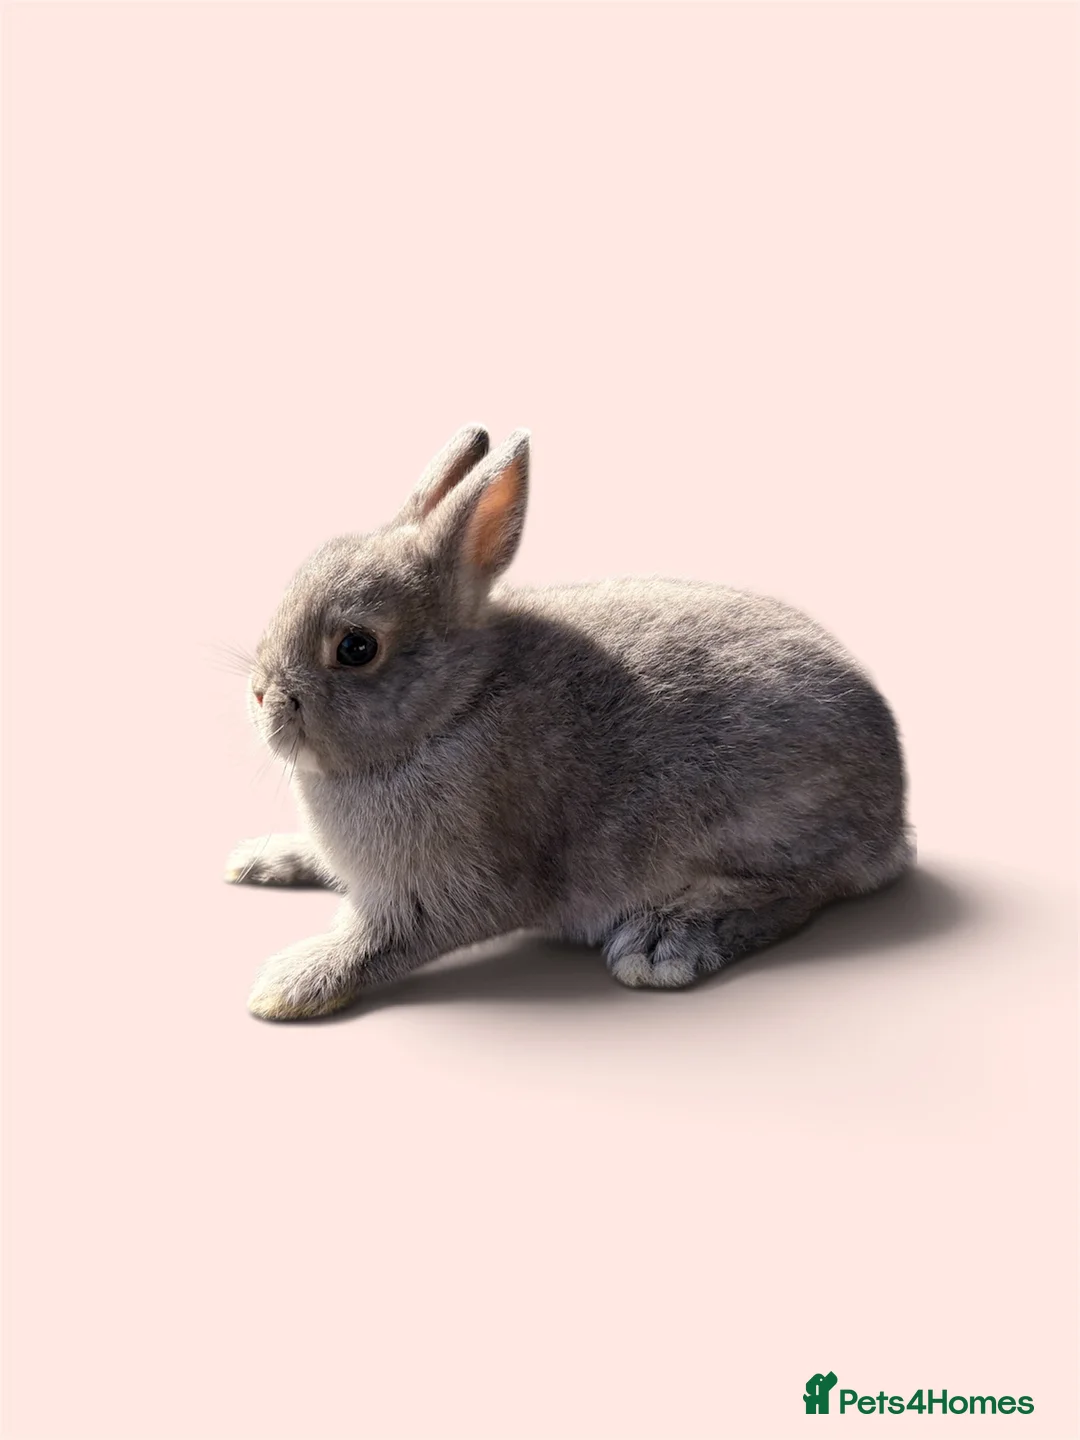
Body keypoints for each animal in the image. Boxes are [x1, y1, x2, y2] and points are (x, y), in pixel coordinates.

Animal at [227, 424, 912, 1020]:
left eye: (357, 647)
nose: (262, 696)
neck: (453, 706)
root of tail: (894, 810)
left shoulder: (454, 883)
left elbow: (385, 939)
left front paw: (288, 986)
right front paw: (259, 859)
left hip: (760, 818)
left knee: (801, 889)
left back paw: (665, 939)